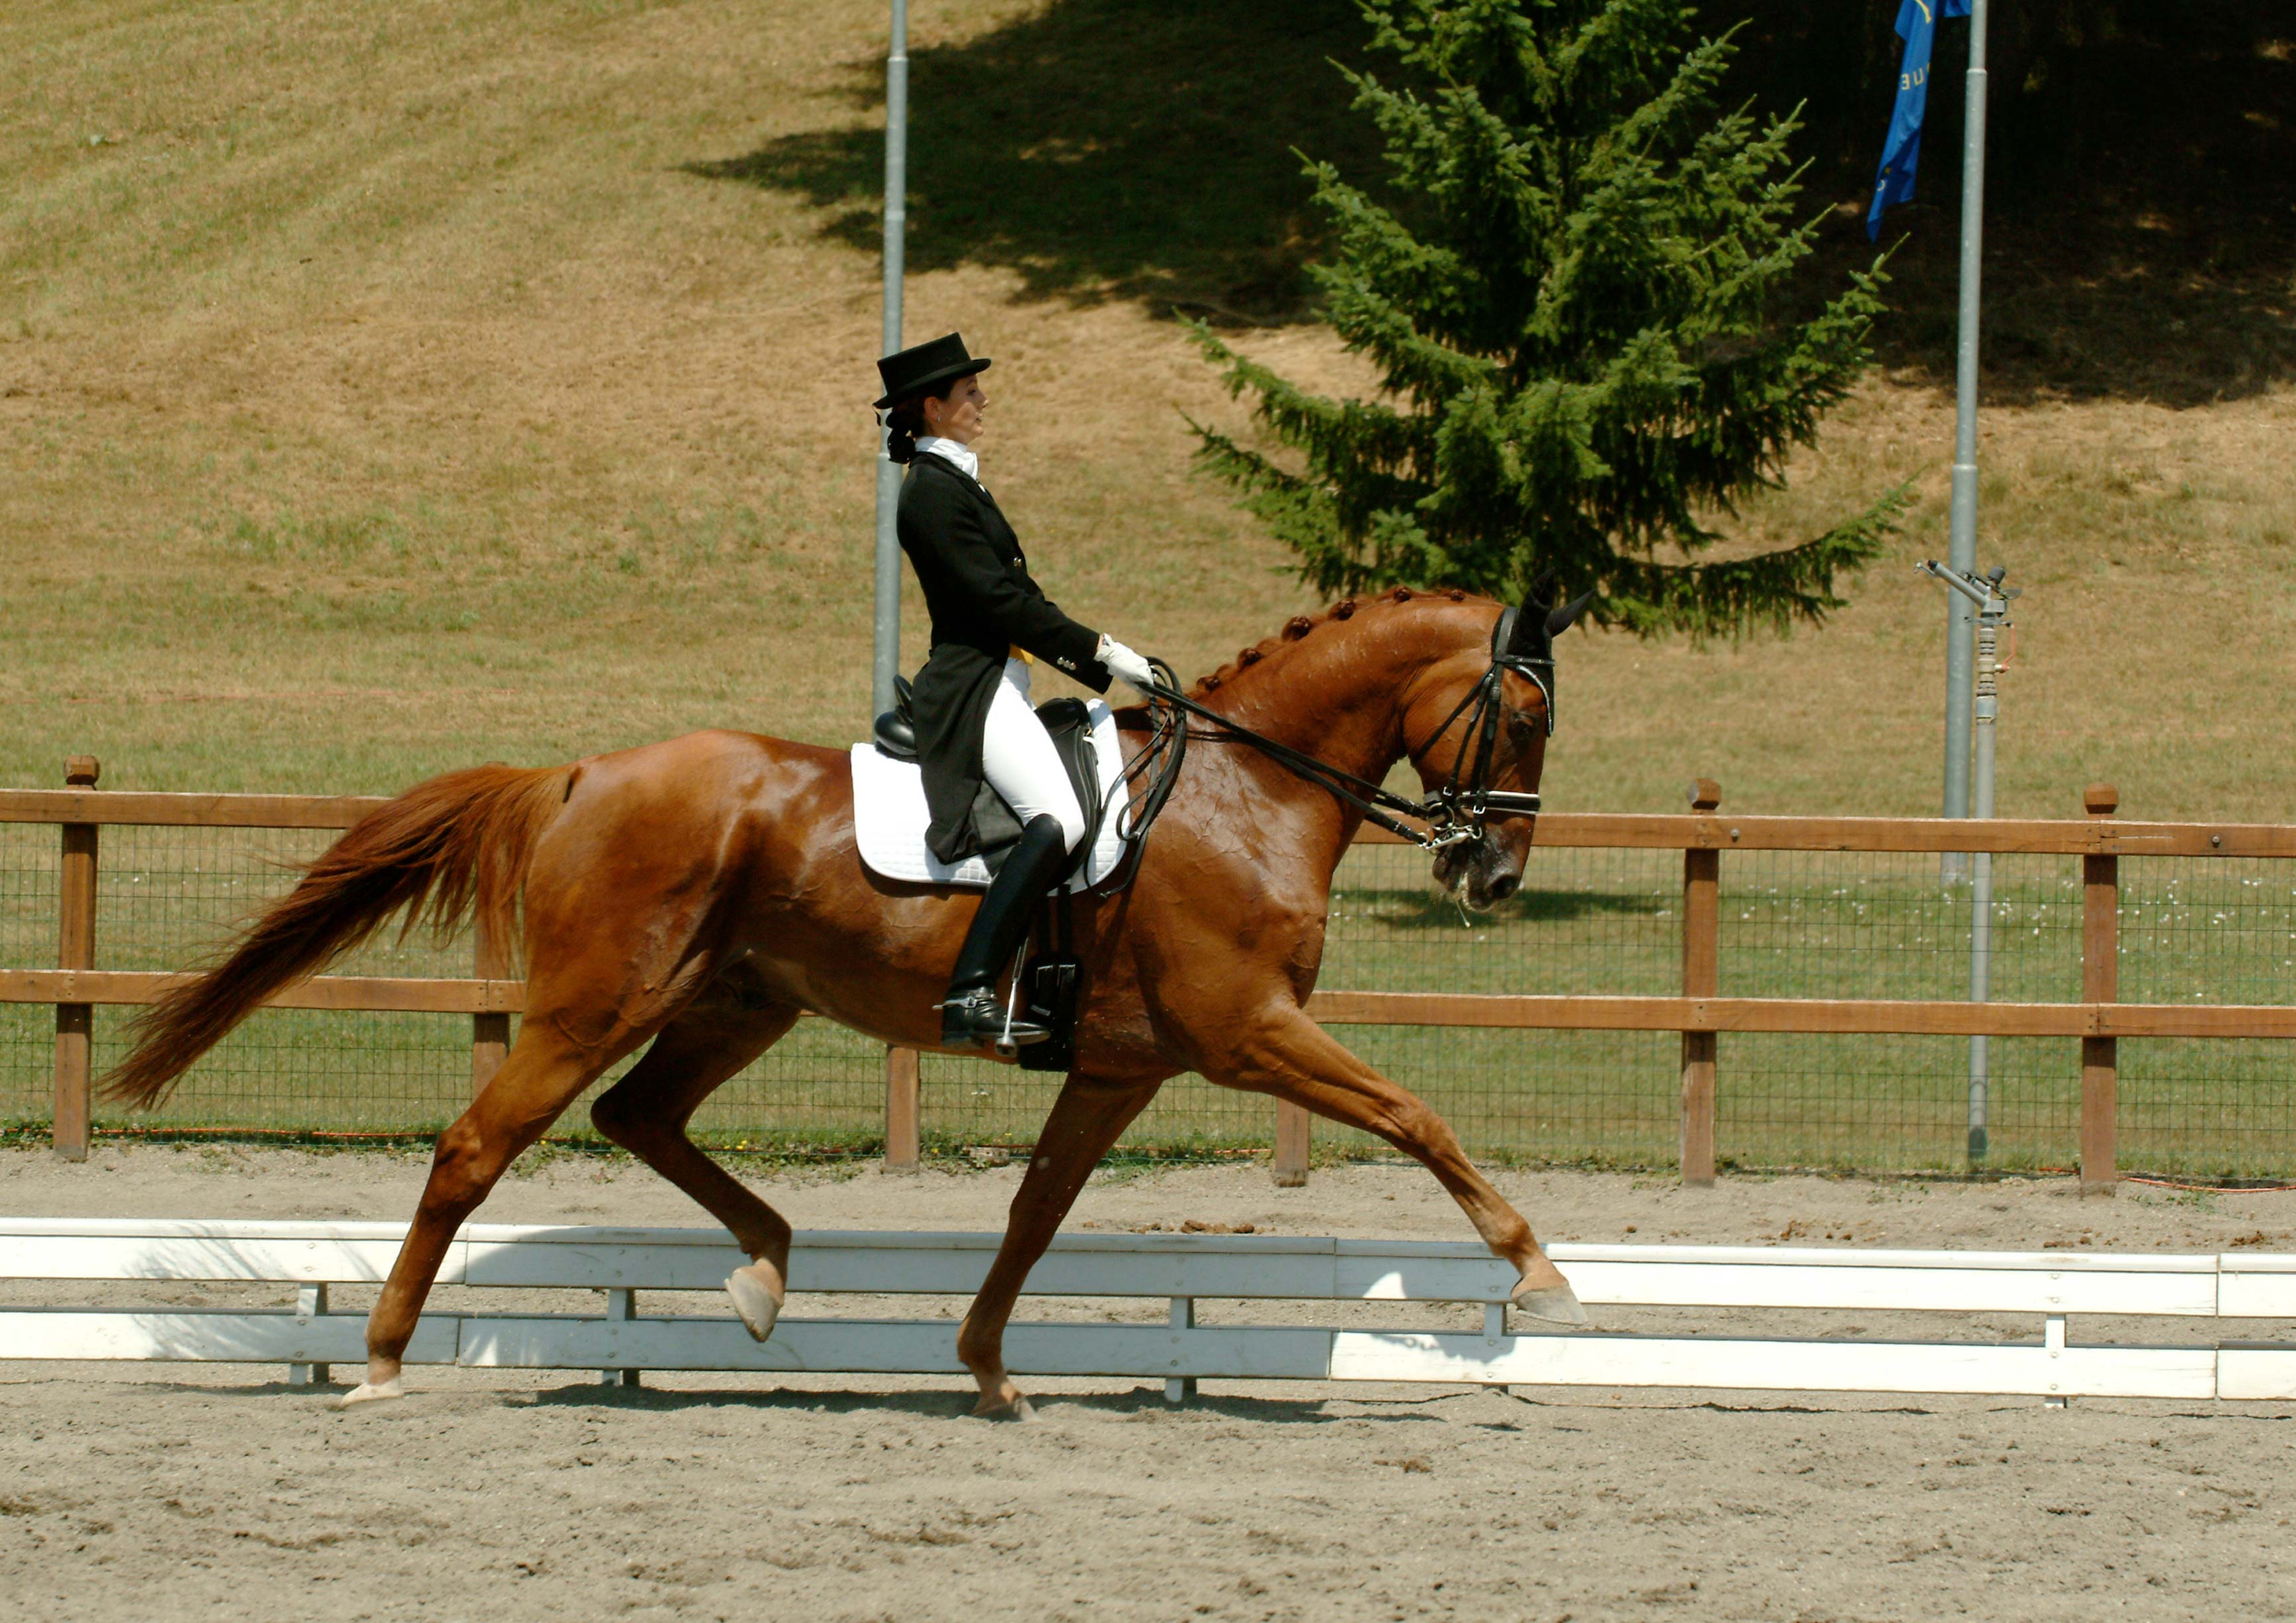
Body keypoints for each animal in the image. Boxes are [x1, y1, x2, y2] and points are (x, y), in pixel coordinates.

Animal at [103, 592, 1579, 1413]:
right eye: (1523, 718)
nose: (1493, 873)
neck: (1243, 792)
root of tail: (582, 771)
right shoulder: (1245, 1034)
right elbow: (1417, 1115)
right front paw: (1538, 1271)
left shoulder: (1123, 1068)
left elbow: (1035, 1213)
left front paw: (985, 1366)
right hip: (597, 1001)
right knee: (477, 1146)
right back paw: (383, 1359)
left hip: (738, 1001)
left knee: (641, 1120)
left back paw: (764, 1271)